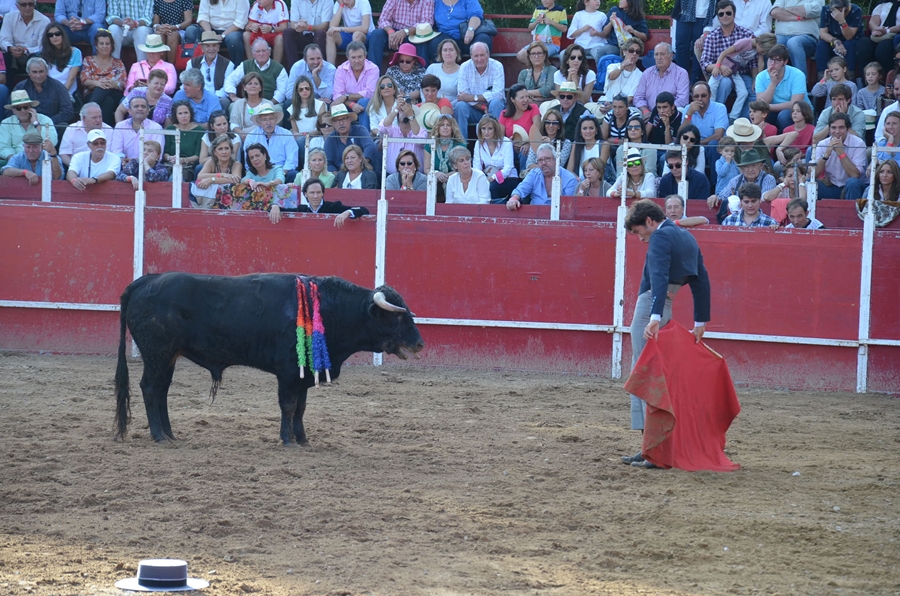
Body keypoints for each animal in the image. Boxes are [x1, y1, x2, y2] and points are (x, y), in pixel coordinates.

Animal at [114, 272, 424, 444]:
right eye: (397, 318)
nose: (420, 344)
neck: (330, 309)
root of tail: (146, 280)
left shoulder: (302, 375)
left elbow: (301, 407)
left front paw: (303, 439)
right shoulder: (287, 373)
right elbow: (288, 406)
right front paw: (287, 439)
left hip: (168, 356)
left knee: (162, 390)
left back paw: (169, 434)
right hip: (157, 353)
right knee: (150, 388)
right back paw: (158, 436)